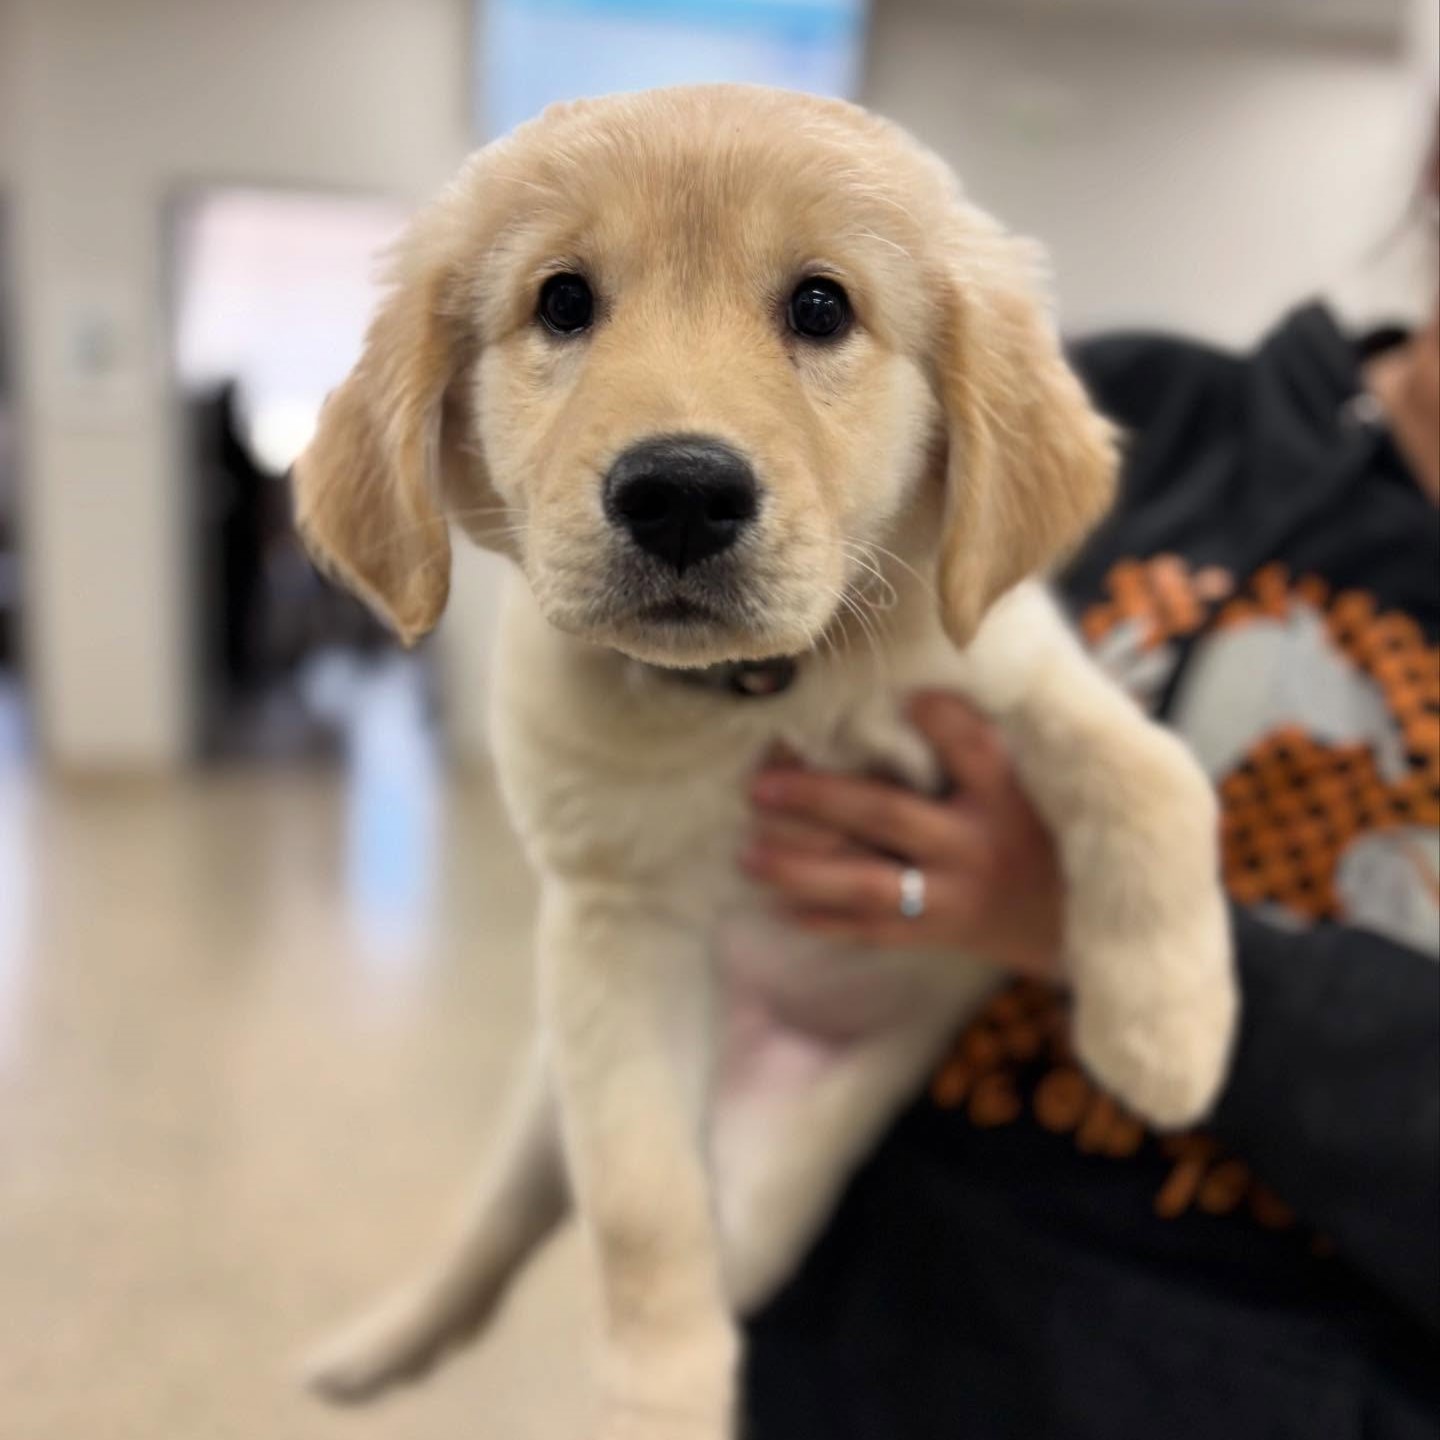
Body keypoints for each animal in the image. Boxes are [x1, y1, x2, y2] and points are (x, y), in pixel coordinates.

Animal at [295, 87, 1238, 1440]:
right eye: (563, 301)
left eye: (822, 308)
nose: (681, 492)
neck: (769, 696)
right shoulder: (615, 929)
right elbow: (641, 1210)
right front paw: (661, 1398)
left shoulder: (1017, 668)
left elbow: (1153, 776)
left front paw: (1169, 1034)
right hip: (548, 1100)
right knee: (503, 1240)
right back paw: (375, 1353)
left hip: (796, 1167)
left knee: (732, 1247)